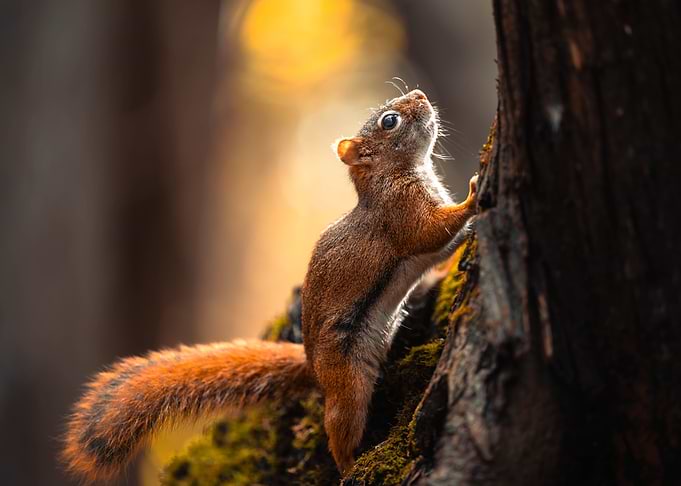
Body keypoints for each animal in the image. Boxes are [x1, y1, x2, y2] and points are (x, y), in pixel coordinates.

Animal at [62, 89, 479, 482]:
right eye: (389, 121)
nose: (421, 95)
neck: (394, 175)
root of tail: (312, 367)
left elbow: (445, 248)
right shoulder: (403, 213)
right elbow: (432, 233)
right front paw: (475, 195)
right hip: (346, 379)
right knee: (339, 426)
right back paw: (349, 468)